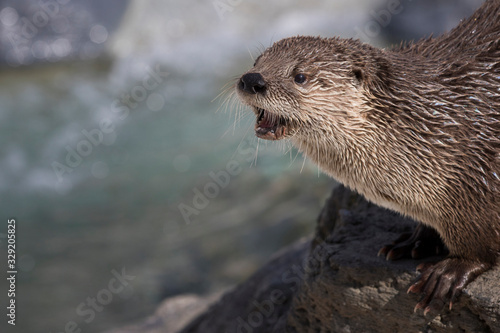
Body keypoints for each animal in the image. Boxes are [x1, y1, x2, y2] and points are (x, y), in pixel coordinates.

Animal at [235, 0, 500, 312]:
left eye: (300, 76)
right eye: (257, 61)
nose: (252, 79)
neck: (439, 124)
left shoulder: (479, 173)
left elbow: (480, 245)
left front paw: (451, 270)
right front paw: (415, 240)